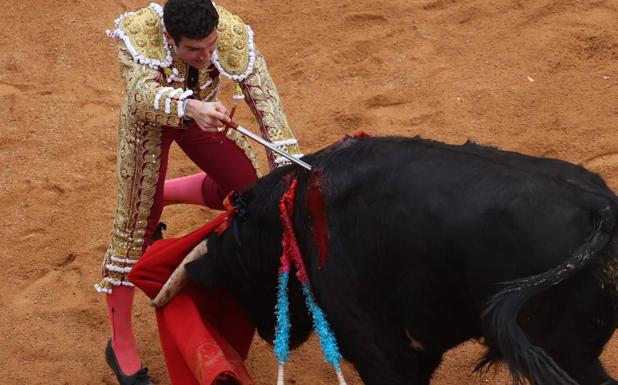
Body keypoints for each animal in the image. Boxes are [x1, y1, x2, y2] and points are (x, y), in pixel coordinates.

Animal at [186, 135, 616, 384]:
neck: (294, 210)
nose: (267, 332)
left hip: (565, 353)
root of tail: (600, 209)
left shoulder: (375, 348)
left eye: (237, 278)